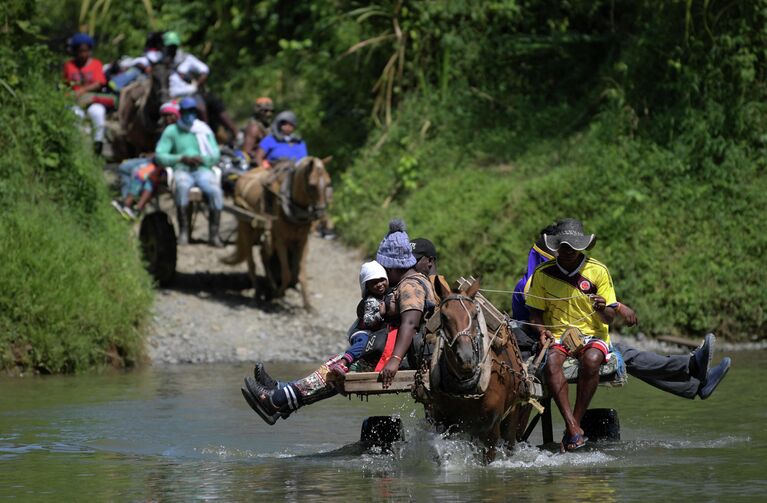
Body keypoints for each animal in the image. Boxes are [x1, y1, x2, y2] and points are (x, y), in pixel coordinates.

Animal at [220, 157, 332, 312]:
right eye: (311, 185)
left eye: (328, 183)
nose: (320, 213)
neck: (290, 205)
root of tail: (242, 177)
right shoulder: (281, 241)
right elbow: (286, 273)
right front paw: (278, 294)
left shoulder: (302, 241)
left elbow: (300, 273)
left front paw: (308, 305)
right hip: (246, 226)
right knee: (251, 262)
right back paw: (258, 293)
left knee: (263, 254)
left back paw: (270, 286)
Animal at [416, 278, 532, 462]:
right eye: (444, 316)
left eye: (475, 314)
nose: (466, 358)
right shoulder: (444, 425)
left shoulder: (491, 431)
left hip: (512, 413)